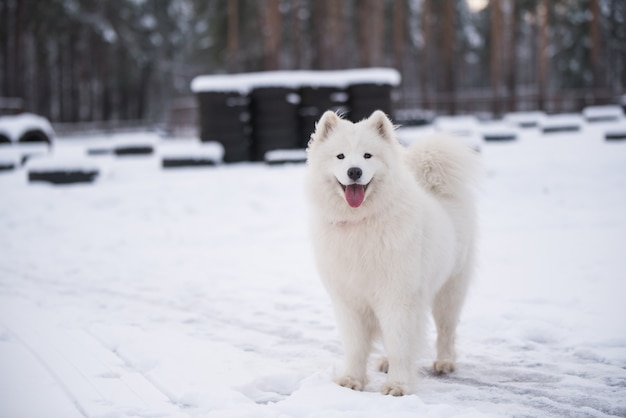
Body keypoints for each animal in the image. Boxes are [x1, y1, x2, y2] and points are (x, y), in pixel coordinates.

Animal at [304, 110, 478, 396]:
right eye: (340, 156)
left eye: (367, 156)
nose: (354, 171)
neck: (361, 223)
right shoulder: (349, 301)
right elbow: (356, 346)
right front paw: (352, 380)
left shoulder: (398, 297)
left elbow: (399, 344)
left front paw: (397, 385)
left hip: (450, 291)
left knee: (446, 330)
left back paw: (444, 362)